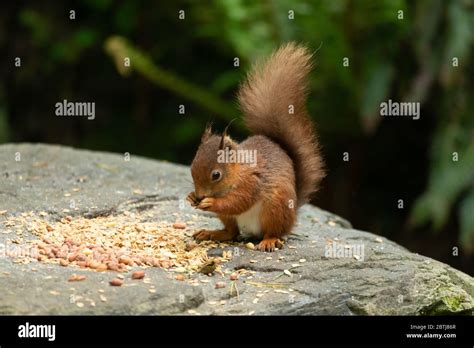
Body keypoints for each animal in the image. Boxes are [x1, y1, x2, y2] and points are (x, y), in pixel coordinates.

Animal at [187, 42, 324, 251]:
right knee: (232, 232)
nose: (201, 195)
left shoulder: (252, 182)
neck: (238, 171)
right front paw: (191, 197)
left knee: (273, 231)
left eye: (216, 175)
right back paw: (213, 233)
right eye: (191, 168)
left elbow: (238, 202)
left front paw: (210, 202)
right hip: (232, 219)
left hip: (276, 207)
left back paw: (270, 240)